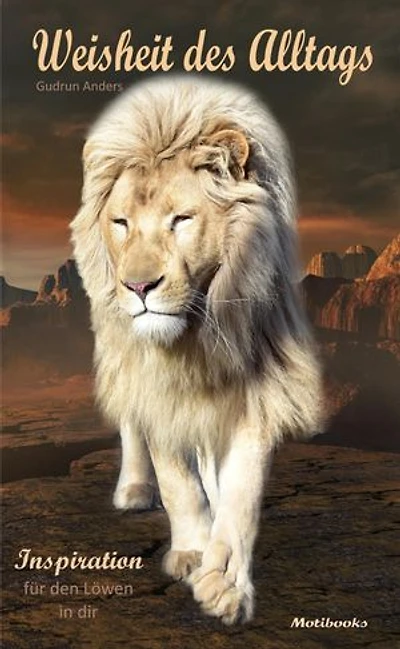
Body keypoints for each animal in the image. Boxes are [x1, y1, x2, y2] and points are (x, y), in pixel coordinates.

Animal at [71, 76, 323, 625]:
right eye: (121, 223)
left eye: (181, 220)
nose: (138, 286)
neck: (196, 333)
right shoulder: (154, 381)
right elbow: (176, 480)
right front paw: (190, 549)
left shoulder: (260, 375)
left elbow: (241, 489)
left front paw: (224, 581)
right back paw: (133, 489)